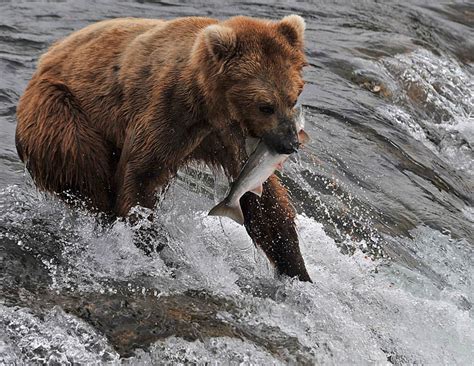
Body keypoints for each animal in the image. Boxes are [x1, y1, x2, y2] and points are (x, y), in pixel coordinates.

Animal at [14, 15, 312, 280]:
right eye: (265, 106)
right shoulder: (168, 111)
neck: (209, 101)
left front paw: (296, 267)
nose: (290, 144)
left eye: (293, 97)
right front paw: (145, 238)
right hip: (60, 112)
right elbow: (143, 175)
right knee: (85, 166)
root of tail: (44, 60)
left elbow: (263, 199)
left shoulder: (227, 133)